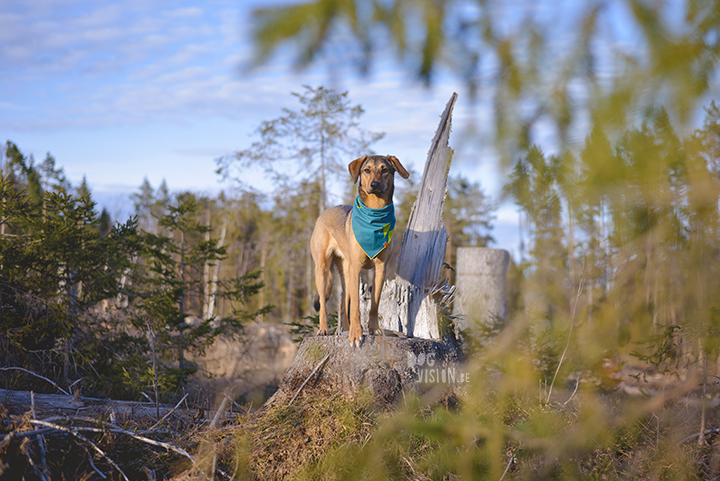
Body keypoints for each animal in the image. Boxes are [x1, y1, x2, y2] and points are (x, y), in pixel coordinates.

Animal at [310, 154, 410, 344]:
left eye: (385, 170)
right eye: (367, 170)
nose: (375, 185)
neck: (375, 212)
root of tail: (324, 213)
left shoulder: (381, 268)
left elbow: (374, 303)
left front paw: (373, 329)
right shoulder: (356, 267)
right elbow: (356, 306)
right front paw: (356, 334)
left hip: (345, 273)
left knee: (342, 305)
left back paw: (343, 331)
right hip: (322, 269)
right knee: (324, 305)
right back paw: (323, 329)